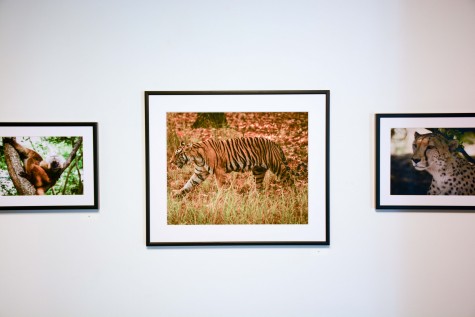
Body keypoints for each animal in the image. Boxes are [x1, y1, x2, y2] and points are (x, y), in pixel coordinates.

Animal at [170, 136, 298, 198]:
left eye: (178, 154)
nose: (170, 162)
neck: (196, 158)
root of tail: (274, 143)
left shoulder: (219, 171)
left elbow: (220, 187)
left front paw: (219, 200)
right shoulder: (199, 173)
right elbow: (189, 184)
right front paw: (177, 193)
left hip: (276, 166)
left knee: (290, 179)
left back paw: (295, 196)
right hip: (258, 171)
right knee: (259, 187)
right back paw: (256, 199)